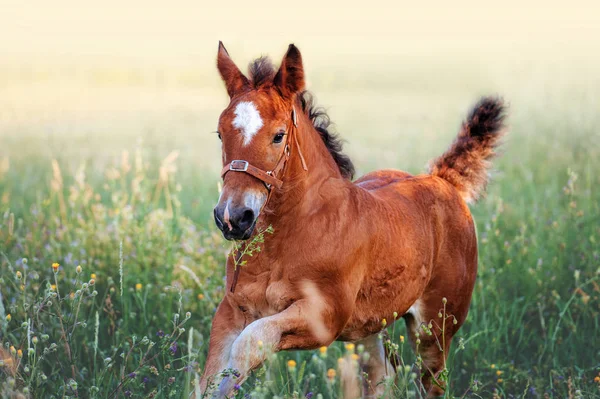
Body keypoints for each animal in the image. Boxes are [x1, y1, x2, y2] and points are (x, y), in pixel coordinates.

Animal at [202, 42, 506, 398]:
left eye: (278, 136)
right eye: (220, 134)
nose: (233, 217)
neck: (286, 240)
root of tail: (443, 180)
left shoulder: (325, 317)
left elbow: (250, 343)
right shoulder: (230, 311)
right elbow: (209, 375)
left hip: (435, 329)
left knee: (430, 383)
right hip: (370, 328)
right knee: (382, 375)